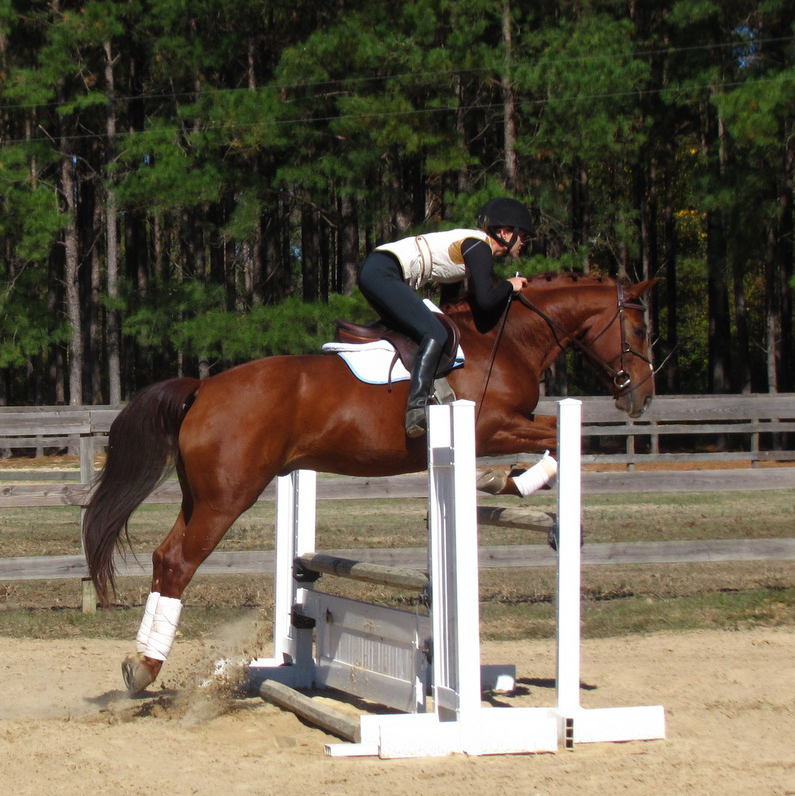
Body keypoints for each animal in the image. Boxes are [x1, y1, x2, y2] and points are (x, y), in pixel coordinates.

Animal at [83, 273, 656, 694]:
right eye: (640, 330)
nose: (641, 397)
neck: (504, 337)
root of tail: (203, 387)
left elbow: (556, 433)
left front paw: (503, 479)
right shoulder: (491, 424)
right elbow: (563, 435)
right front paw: (506, 480)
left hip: (198, 497)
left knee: (164, 558)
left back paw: (141, 662)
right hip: (227, 500)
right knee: (180, 563)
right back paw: (145, 669)